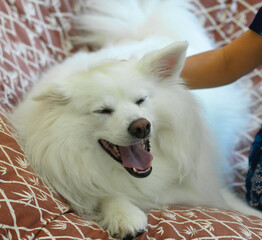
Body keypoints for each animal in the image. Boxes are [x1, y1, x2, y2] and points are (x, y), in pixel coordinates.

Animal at [11, 0, 262, 239]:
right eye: (103, 110)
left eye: (141, 100)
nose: (141, 126)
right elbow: (107, 195)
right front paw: (125, 216)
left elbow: (232, 203)